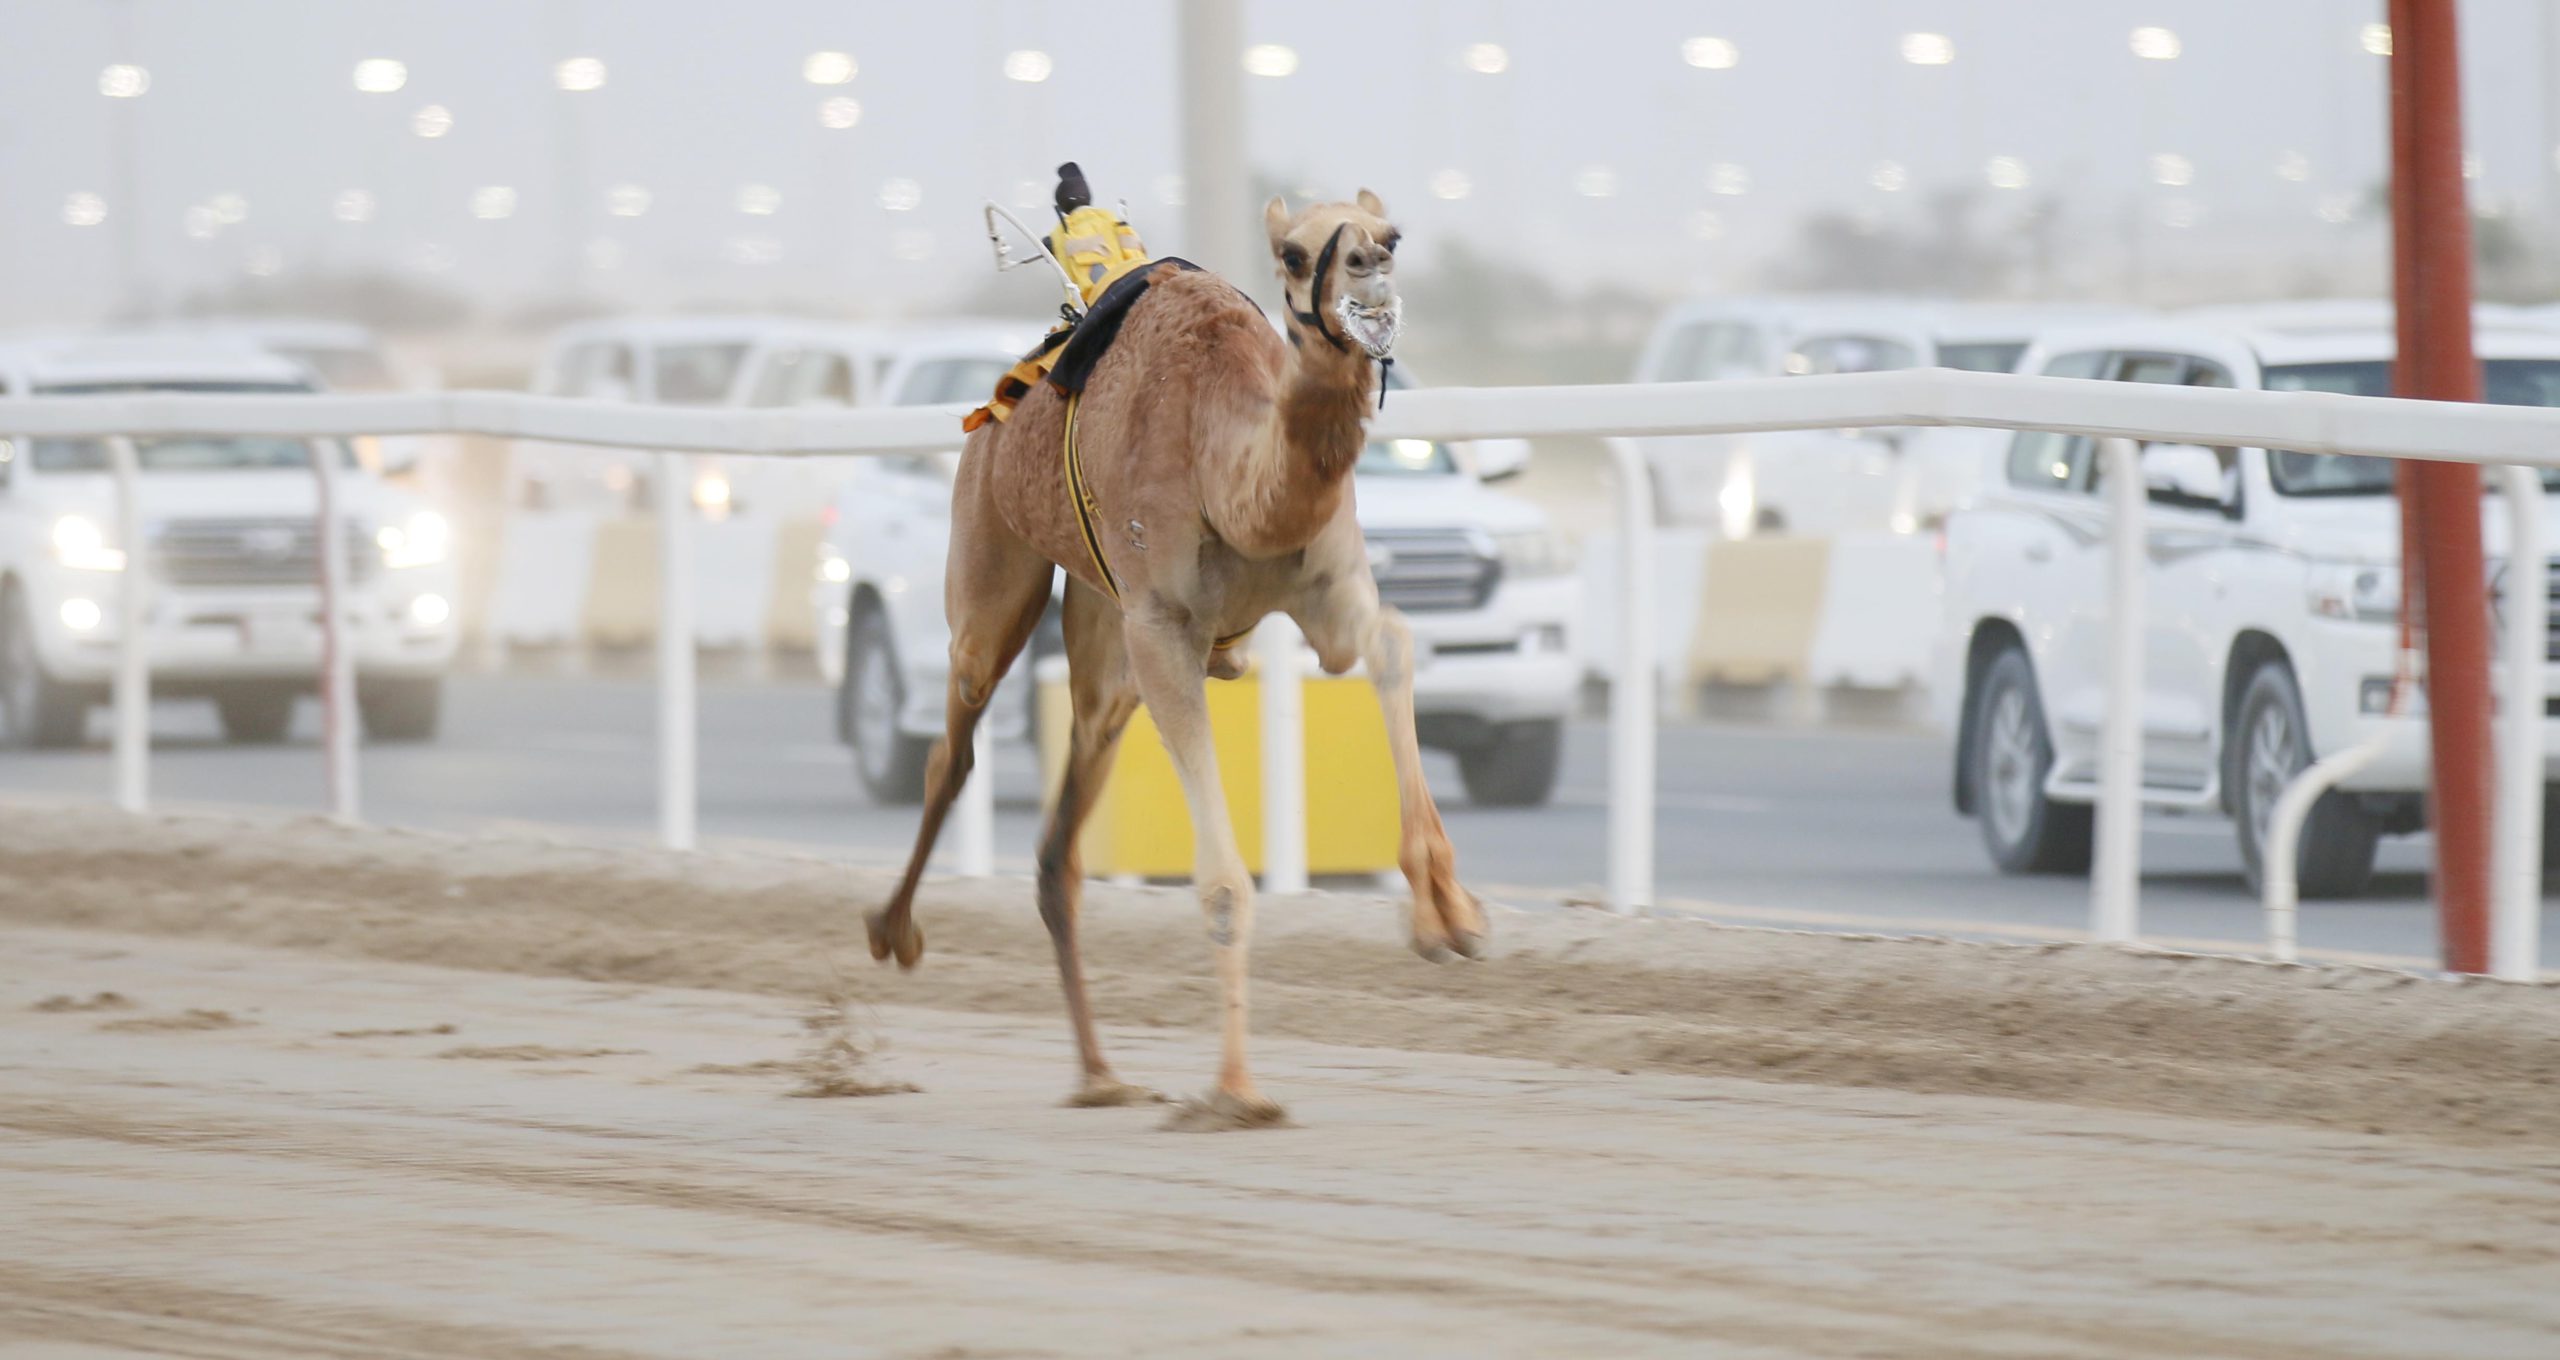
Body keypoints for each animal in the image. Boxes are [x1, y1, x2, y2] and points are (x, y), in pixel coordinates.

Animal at [870, 192, 1495, 1126]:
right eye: (1294, 252)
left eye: (1391, 236)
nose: (1370, 270)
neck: (1228, 475)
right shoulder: (1164, 626)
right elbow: (1224, 880)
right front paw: (1236, 1092)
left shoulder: (1327, 585)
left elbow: (1390, 643)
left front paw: (1448, 916)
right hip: (992, 553)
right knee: (956, 739)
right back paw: (892, 930)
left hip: (1103, 631)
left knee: (1062, 830)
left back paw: (1099, 1074)